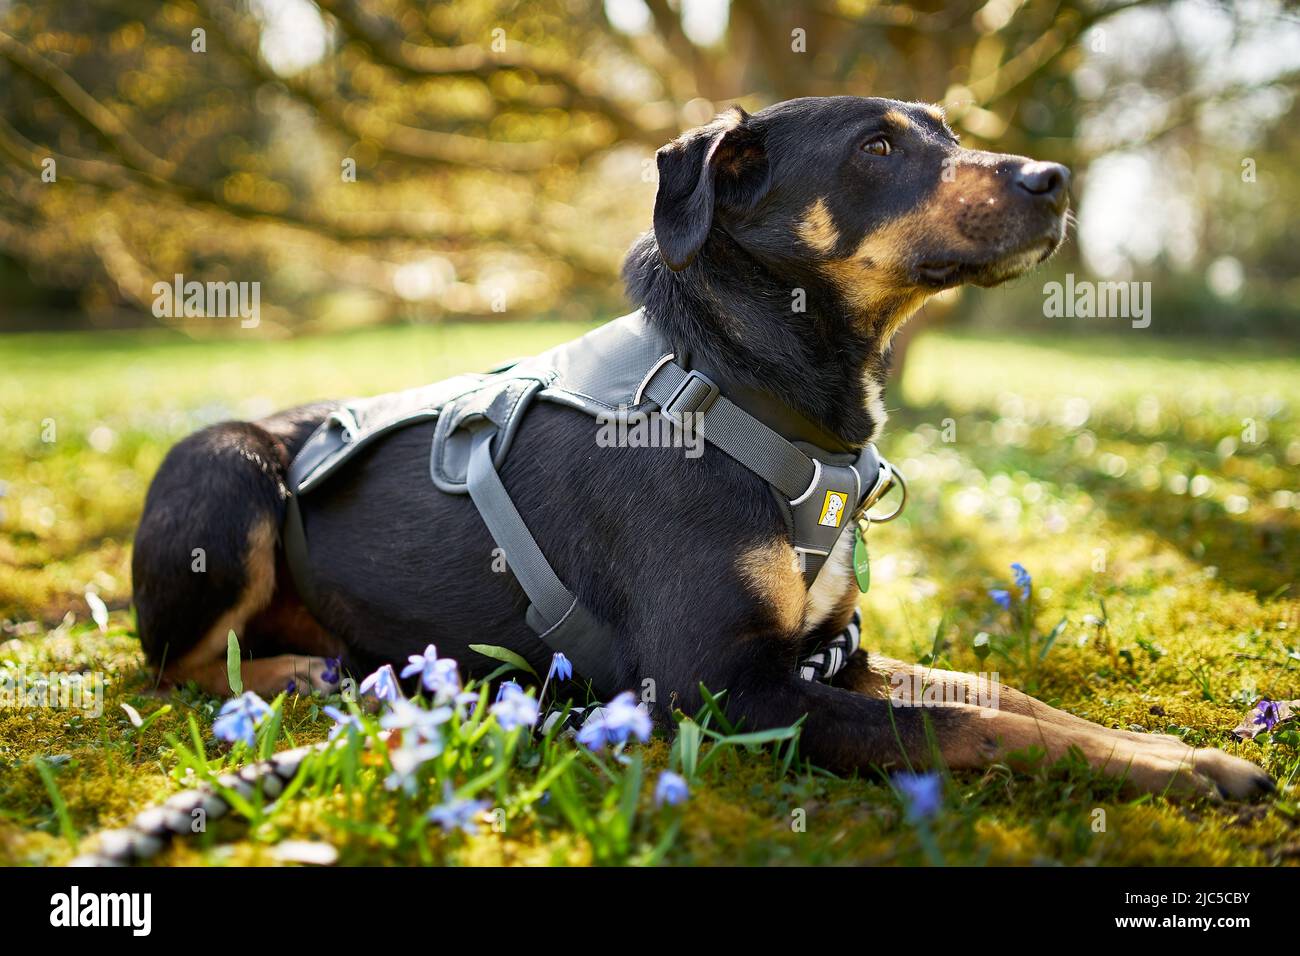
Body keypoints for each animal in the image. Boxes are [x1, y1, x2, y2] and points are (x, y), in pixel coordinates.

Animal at [131, 97, 1268, 801]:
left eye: (945, 130)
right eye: (877, 148)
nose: (1054, 178)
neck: (748, 387)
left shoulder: (826, 650)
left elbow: (1001, 695)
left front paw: (1171, 752)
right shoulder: (724, 686)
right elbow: (963, 726)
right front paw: (1174, 771)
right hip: (226, 474)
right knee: (174, 664)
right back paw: (299, 674)